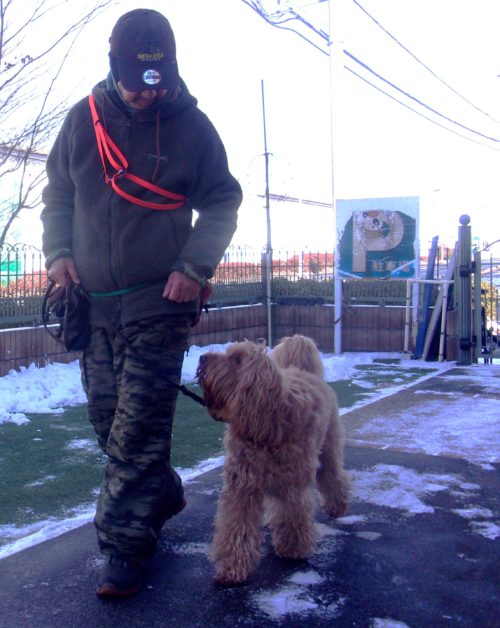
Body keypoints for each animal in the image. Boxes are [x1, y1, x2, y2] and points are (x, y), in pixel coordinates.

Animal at [196, 335, 349, 585]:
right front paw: (232, 567)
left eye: (237, 359)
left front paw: (292, 548)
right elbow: (236, 527)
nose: (202, 358)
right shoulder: (241, 488)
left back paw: (337, 506)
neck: (266, 428)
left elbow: (293, 514)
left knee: (334, 477)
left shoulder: (292, 486)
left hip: (329, 449)